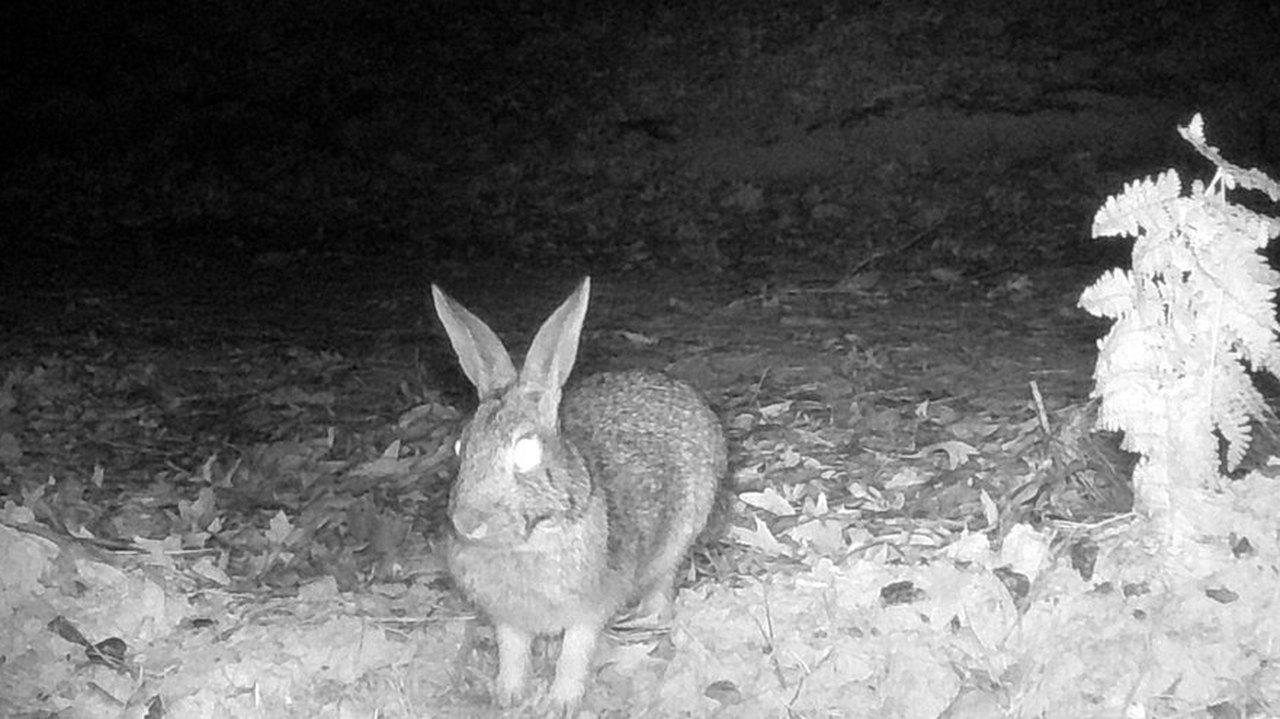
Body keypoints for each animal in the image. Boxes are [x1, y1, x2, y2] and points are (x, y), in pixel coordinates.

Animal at [431, 277, 726, 714]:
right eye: (459, 448)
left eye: (526, 452)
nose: (467, 522)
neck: (526, 543)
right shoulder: (508, 619)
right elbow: (513, 651)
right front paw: (508, 696)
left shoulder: (588, 609)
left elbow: (575, 652)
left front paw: (560, 704)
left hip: (681, 532)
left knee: (661, 581)